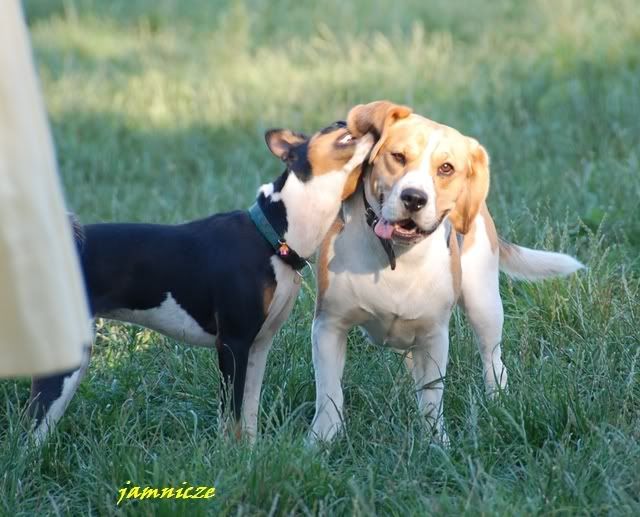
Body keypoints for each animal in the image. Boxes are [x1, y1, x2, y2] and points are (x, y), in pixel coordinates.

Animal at [28, 121, 374, 443]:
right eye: (333, 128)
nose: (350, 120)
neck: (273, 237)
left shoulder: (258, 346)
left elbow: (248, 413)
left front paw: (249, 455)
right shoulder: (233, 343)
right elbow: (230, 415)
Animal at [309, 101, 584, 443]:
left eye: (446, 169)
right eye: (398, 156)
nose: (414, 198)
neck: (396, 256)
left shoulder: (433, 336)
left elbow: (431, 396)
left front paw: (434, 443)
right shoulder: (329, 326)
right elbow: (329, 392)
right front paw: (322, 440)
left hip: (484, 304)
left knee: (493, 360)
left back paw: (498, 402)